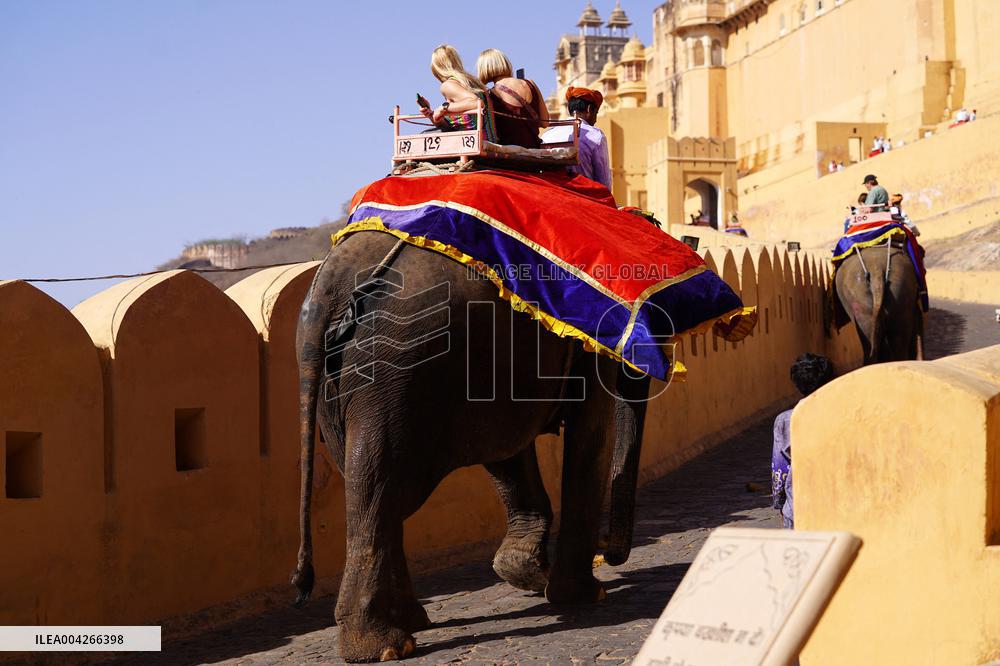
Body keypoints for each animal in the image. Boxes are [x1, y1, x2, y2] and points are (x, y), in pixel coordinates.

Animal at [290, 228, 653, 662]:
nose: (608, 550)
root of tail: (326, 292)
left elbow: (509, 451)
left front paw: (525, 574)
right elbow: (590, 429)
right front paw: (583, 595)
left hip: (351, 389)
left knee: (375, 485)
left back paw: (410, 624)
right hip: (398, 365)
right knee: (379, 486)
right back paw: (385, 647)